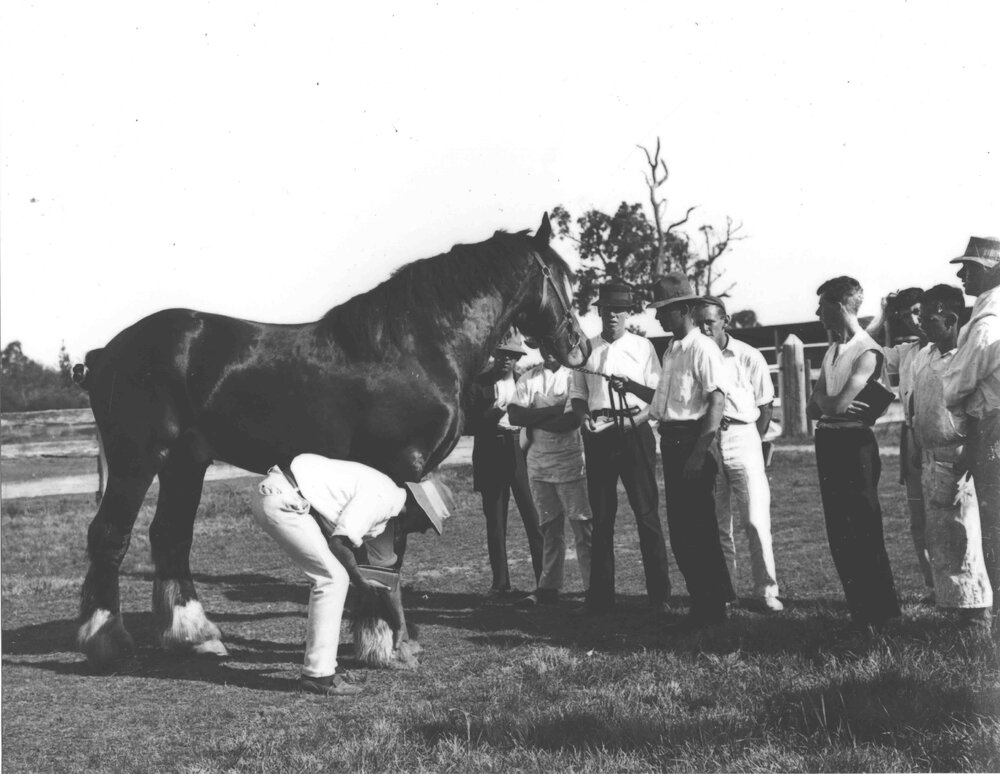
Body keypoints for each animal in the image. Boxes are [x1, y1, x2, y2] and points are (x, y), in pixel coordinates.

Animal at [72, 212, 590, 670]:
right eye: (562, 278)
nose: (579, 346)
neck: (416, 345)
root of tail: (106, 352)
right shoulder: (398, 468)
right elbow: (384, 559)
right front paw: (382, 641)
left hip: (185, 463)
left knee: (171, 537)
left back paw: (193, 636)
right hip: (138, 460)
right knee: (109, 536)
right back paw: (106, 641)